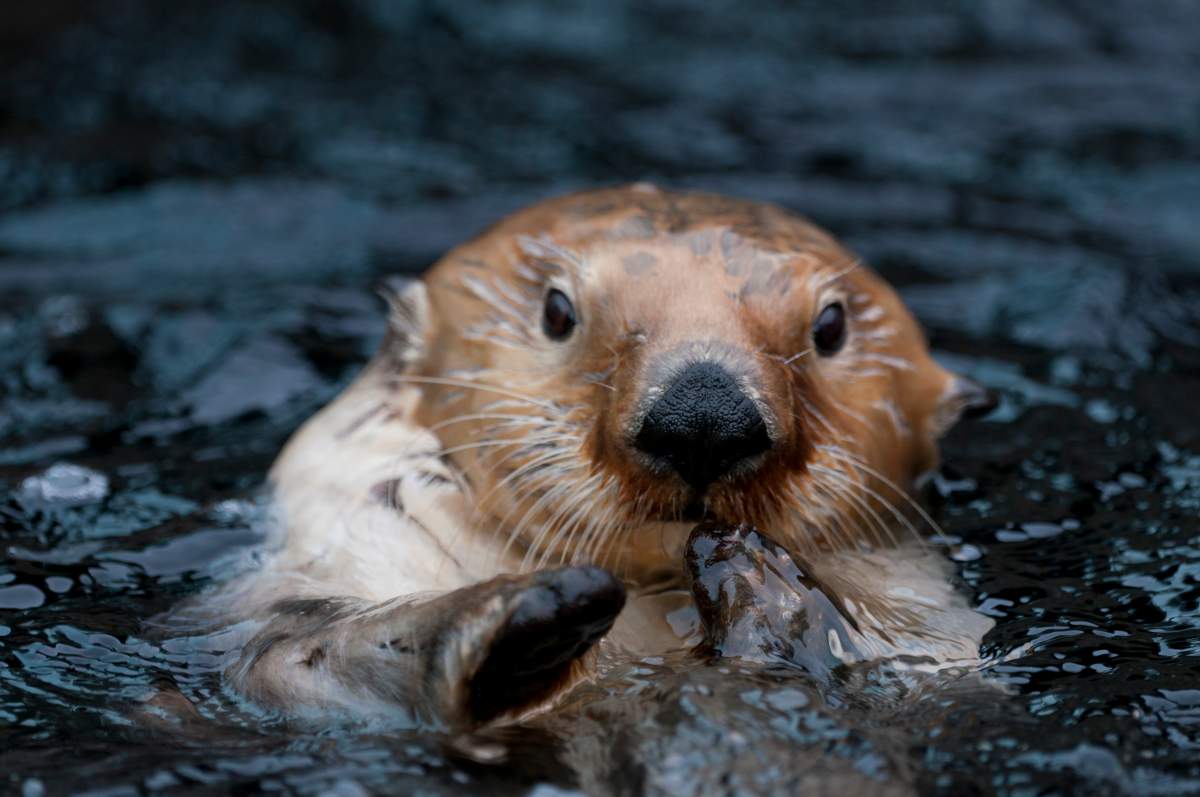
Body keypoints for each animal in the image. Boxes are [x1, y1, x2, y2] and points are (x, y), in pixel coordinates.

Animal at [201, 184, 995, 729]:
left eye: (830, 327)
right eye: (557, 312)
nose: (704, 415)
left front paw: (767, 581)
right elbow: (299, 654)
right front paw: (533, 619)